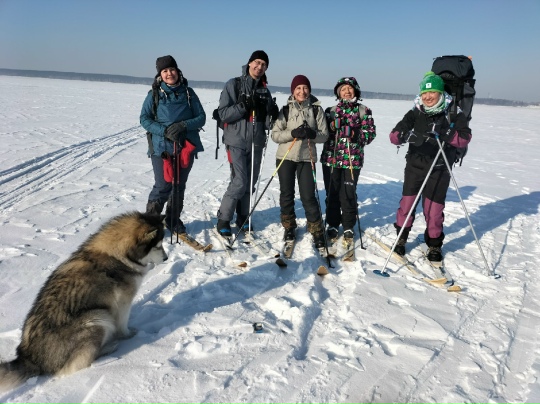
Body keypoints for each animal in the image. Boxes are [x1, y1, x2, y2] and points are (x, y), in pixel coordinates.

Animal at [0, 211, 167, 392]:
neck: (116, 255)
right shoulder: (122, 303)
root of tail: (29, 357)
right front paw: (129, 336)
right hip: (97, 317)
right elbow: (123, 326)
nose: (166, 258)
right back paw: (109, 348)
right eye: (158, 246)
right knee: (79, 365)